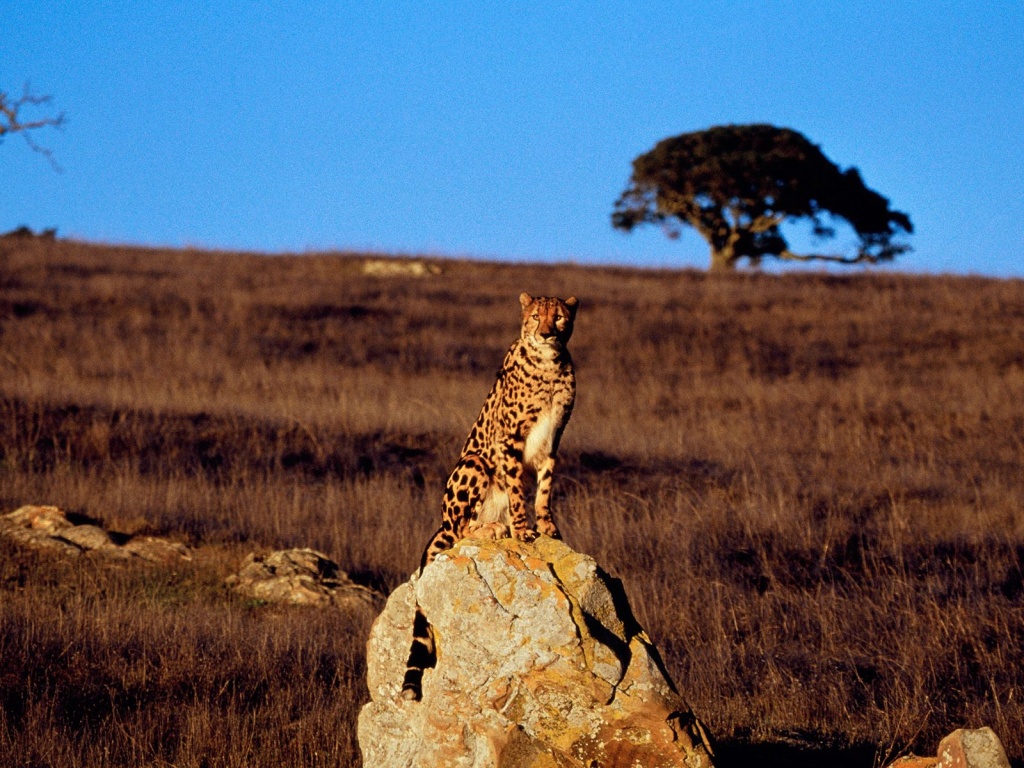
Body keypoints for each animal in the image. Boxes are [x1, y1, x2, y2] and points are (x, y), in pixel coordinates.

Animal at [397, 290, 577, 700]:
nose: (546, 333)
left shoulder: (553, 441)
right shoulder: (509, 441)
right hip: (474, 463)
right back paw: (493, 529)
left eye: (559, 317)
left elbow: (544, 489)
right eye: (535, 317)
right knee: (461, 530)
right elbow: (517, 489)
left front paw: (548, 526)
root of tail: (441, 521)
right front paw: (523, 529)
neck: (550, 366)